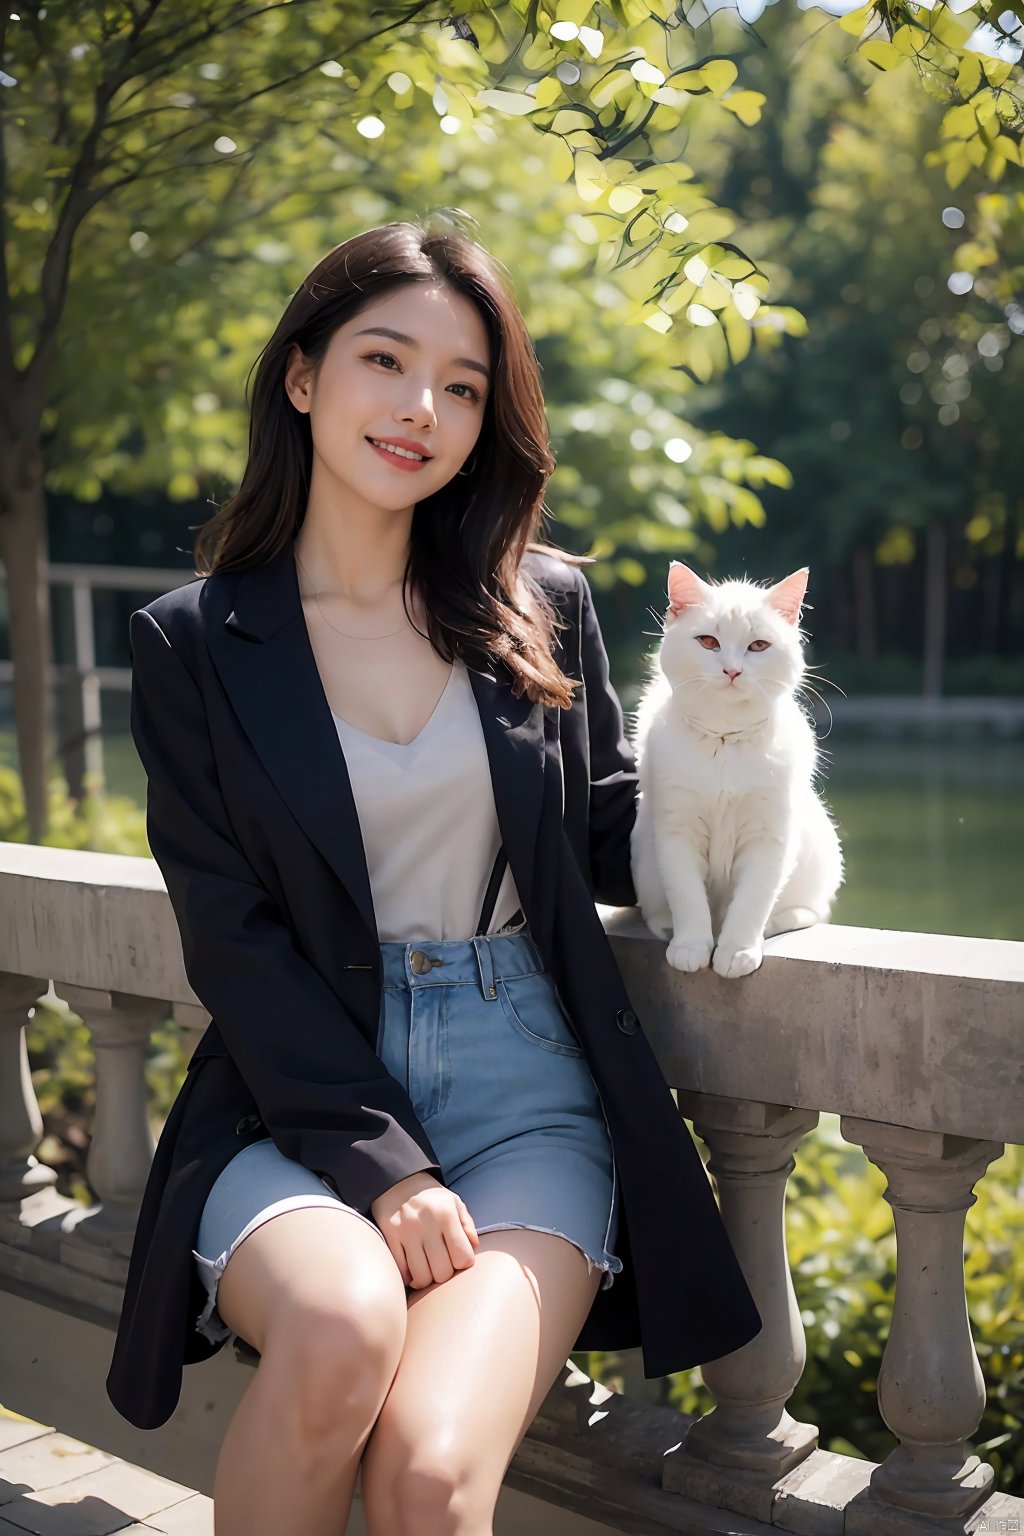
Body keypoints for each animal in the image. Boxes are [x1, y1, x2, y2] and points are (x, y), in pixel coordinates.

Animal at [629, 559, 847, 976]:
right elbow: (686, 895)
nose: (732, 671)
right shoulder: (675, 830)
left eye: (758, 646)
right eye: (708, 642)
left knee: (806, 910)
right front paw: (690, 947)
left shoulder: (770, 836)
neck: (724, 740)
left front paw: (737, 952)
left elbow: (752, 901)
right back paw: (667, 927)